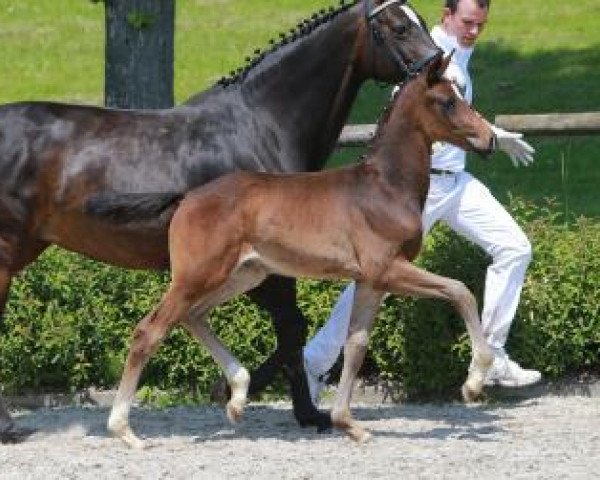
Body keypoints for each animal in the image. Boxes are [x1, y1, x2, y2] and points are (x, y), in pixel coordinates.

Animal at [0, 0, 438, 442]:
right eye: (399, 27)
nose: (440, 68)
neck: (262, 125)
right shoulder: (270, 266)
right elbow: (292, 329)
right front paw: (274, 402)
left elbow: (288, 331)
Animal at [88, 52, 492, 446]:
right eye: (447, 101)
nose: (488, 138)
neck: (385, 187)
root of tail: (187, 197)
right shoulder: (388, 268)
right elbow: (460, 291)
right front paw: (474, 383)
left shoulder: (371, 280)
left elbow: (356, 345)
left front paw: (348, 423)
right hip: (198, 275)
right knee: (149, 331)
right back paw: (124, 430)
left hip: (244, 274)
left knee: (193, 316)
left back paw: (237, 396)